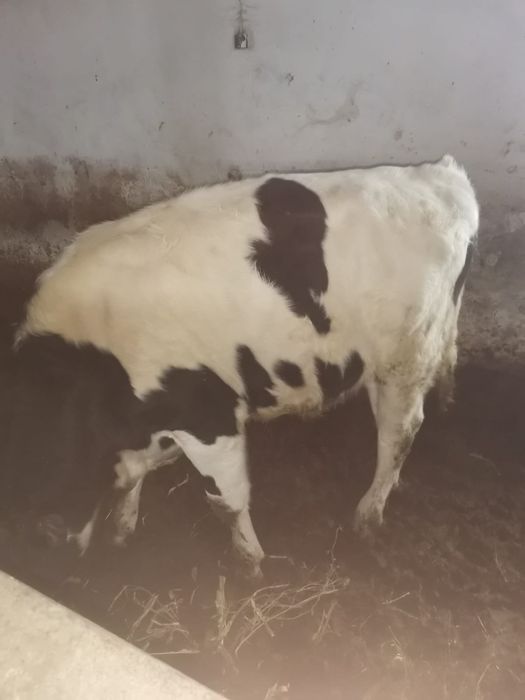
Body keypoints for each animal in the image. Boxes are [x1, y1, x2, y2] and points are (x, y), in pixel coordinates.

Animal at [0, 155, 478, 579]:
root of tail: (441, 174)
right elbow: (134, 473)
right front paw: (122, 527)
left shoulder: (208, 415)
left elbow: (225, 498)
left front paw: (250, 560)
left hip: (404, 357)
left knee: (399, 434)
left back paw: (368, 513)